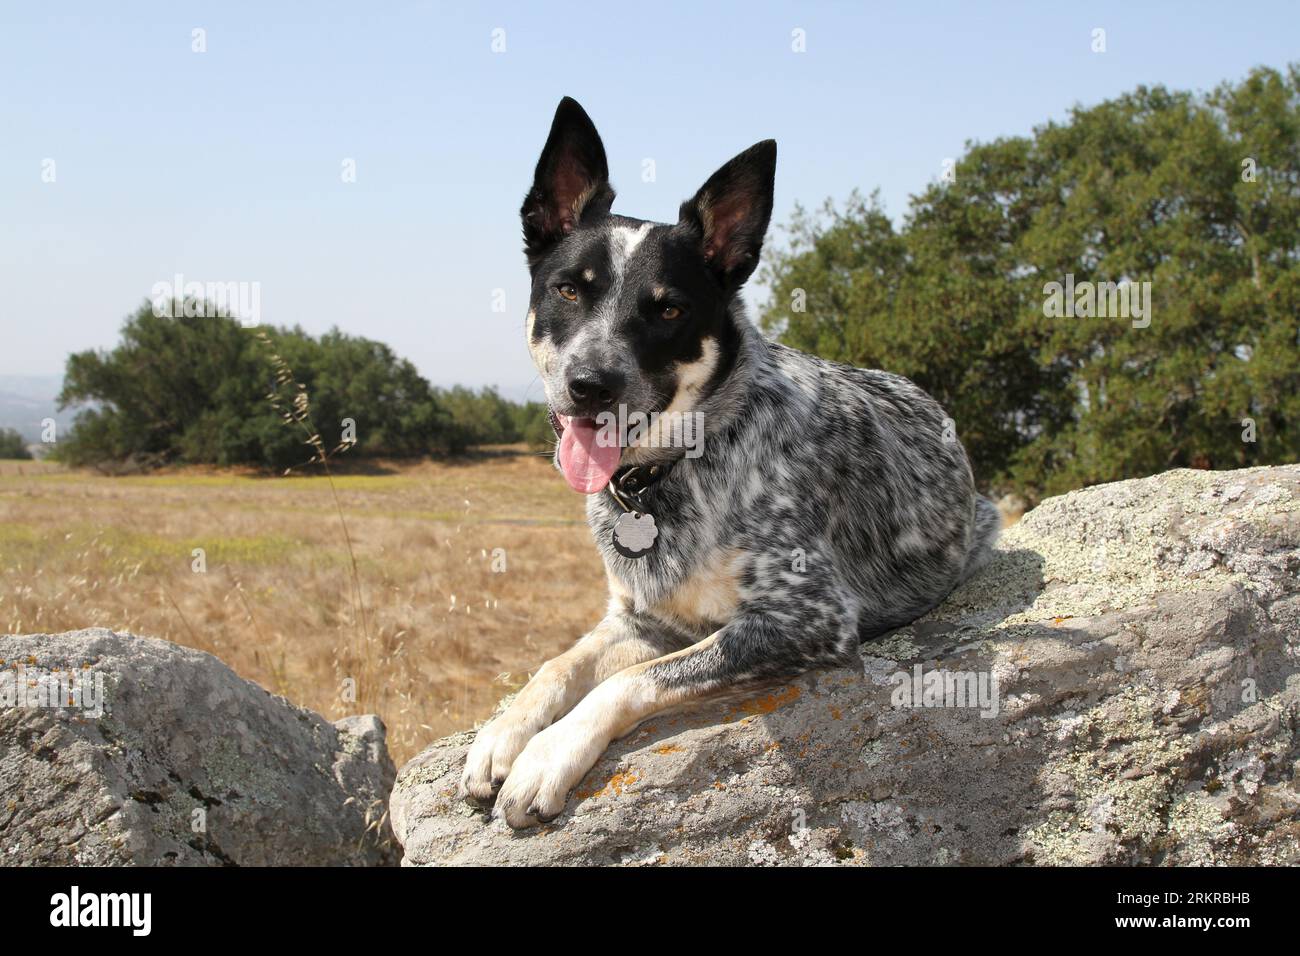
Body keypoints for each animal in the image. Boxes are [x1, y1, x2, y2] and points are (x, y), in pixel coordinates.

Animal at [462, 98, 998, 832]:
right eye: (569, 290)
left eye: (668, 308)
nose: (590, 384)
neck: (673, 469)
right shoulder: (639, 619)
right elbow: (559, 664)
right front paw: (504, 732)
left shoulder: (805, 617)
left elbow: (628, 681)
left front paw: (547, 753)